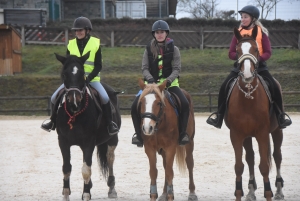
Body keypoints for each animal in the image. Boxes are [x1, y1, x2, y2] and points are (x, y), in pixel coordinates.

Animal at [54, 52, 120, 200]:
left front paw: (86, 195)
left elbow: (86, 170)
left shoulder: (88, 143)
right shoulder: (63, 142)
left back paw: (112, 188)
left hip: (112, 139)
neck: (74, 113)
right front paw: (66, 194)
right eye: (64, 74)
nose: (74, 100)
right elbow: (66, 168)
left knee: (110, 158)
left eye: (82, 73)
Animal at [225, 25, 286, 200]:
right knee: (250, 158)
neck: (248, 96)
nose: (246, 74)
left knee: (277, 156)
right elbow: (239, 166)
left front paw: (269, 193)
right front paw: (239, 193)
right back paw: (251, 190)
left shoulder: (262, 133)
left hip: (277, 131)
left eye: (256, 49)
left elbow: (264, 166)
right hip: (247, 136)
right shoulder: (237, 134)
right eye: (237, 50)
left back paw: (278, 189)